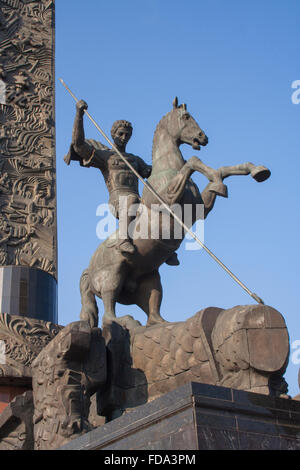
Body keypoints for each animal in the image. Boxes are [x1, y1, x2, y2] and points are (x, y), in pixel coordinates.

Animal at [79, 98, 270, 328]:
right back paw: (127, 320)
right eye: (186, 117)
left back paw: (163, 323)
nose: (203, 137)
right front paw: (217, 180)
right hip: (112, 276)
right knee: (109, 314)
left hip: (150, 279)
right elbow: (193, 162)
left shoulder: (200, 209)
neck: (166, 169)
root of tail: (89, 268)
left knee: (152, 310)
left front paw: (256, 171)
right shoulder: (169, 199)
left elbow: (221, 170)